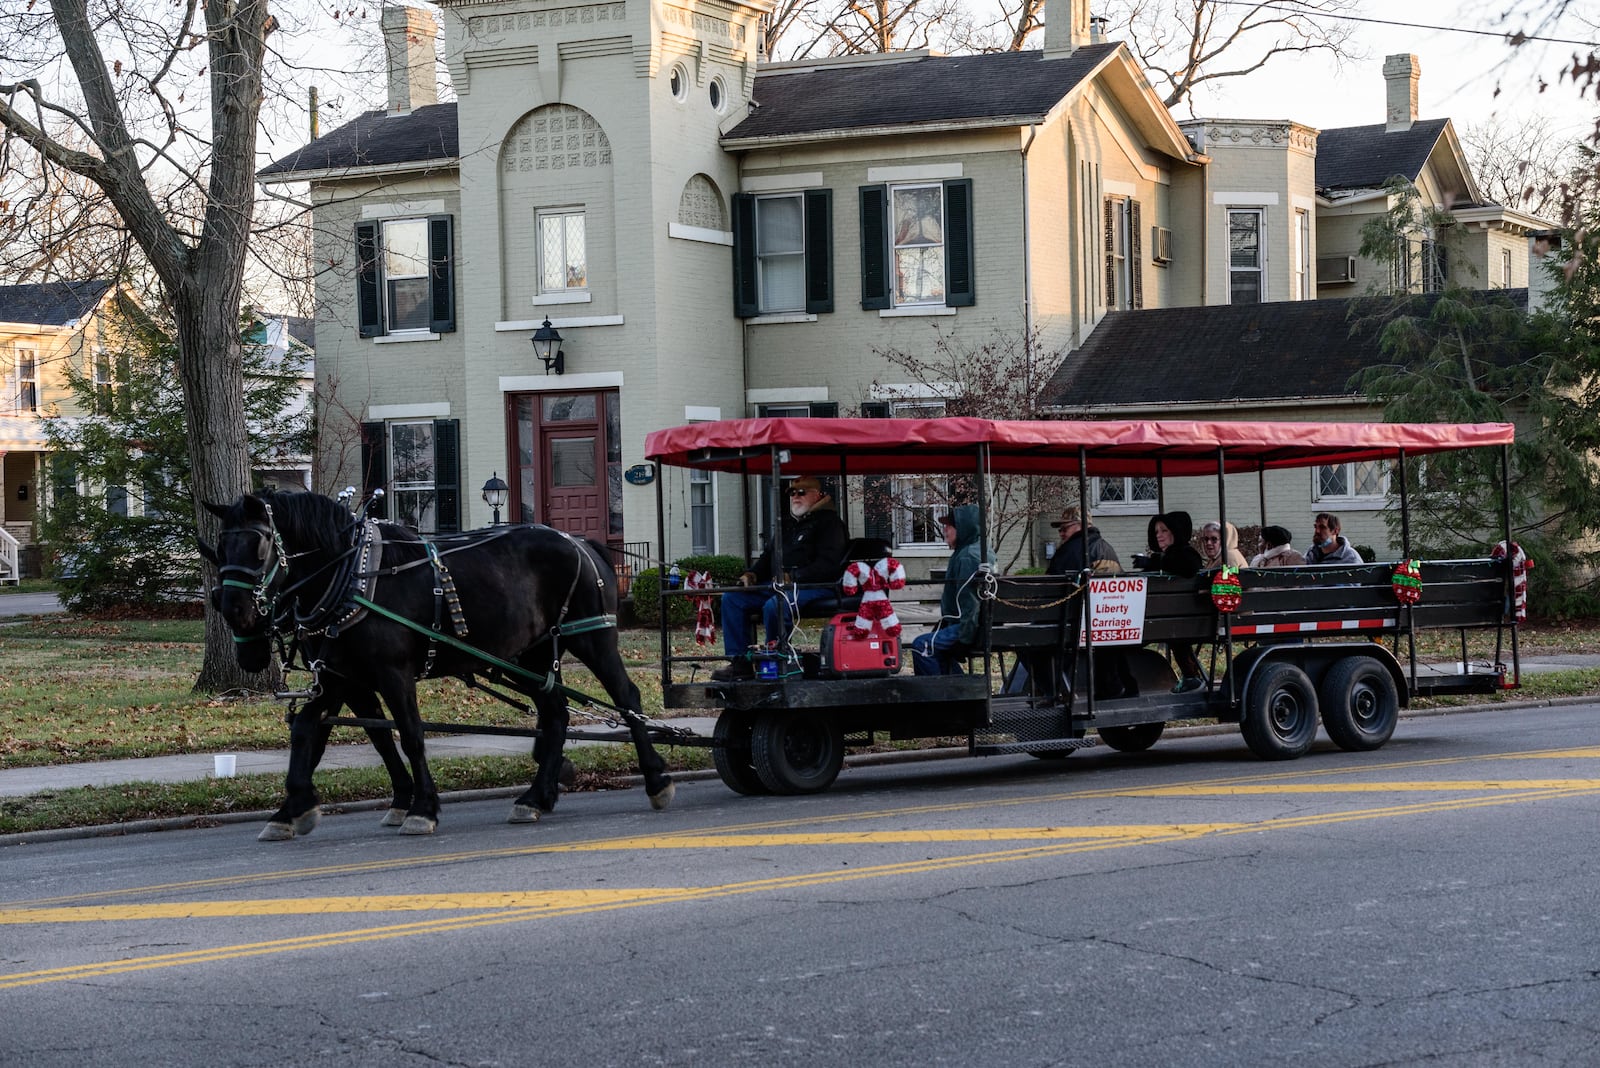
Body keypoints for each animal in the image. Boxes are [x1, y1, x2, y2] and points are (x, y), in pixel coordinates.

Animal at [201, 489, 675, 831]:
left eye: (260, 544)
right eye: (220, 549)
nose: (236, 610)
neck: (351, 576)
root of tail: (579, 541)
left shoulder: (391, 673)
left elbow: (410, 735)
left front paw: (422, 807)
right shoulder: (340, 676)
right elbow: (309, 732)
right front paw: (292, 808)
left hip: (590, 635)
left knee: (626, 696)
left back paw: (656, 779)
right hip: (530, 655)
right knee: (556, 712)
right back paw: (535, 798)